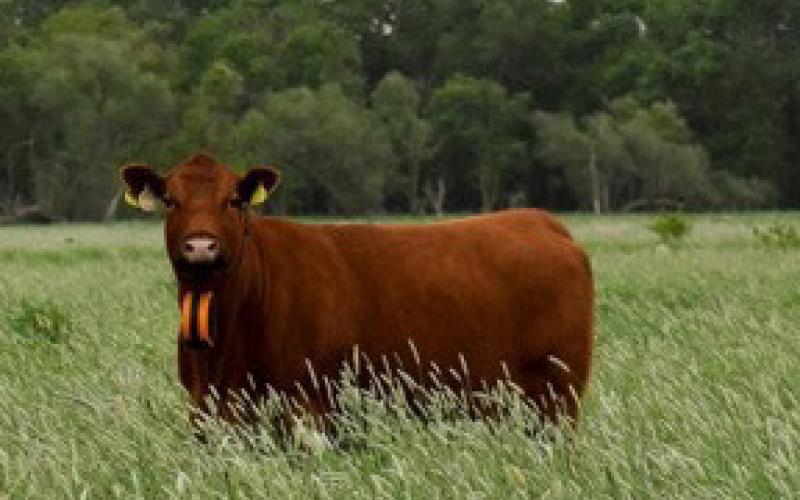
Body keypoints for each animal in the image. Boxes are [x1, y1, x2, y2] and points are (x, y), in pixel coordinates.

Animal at [121, 153, 594, 434]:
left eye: (233, 200)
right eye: (171, 200)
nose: (201, 247)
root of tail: (540, 221)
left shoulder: (307, 408)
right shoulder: (206, 408)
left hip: (557, 398)